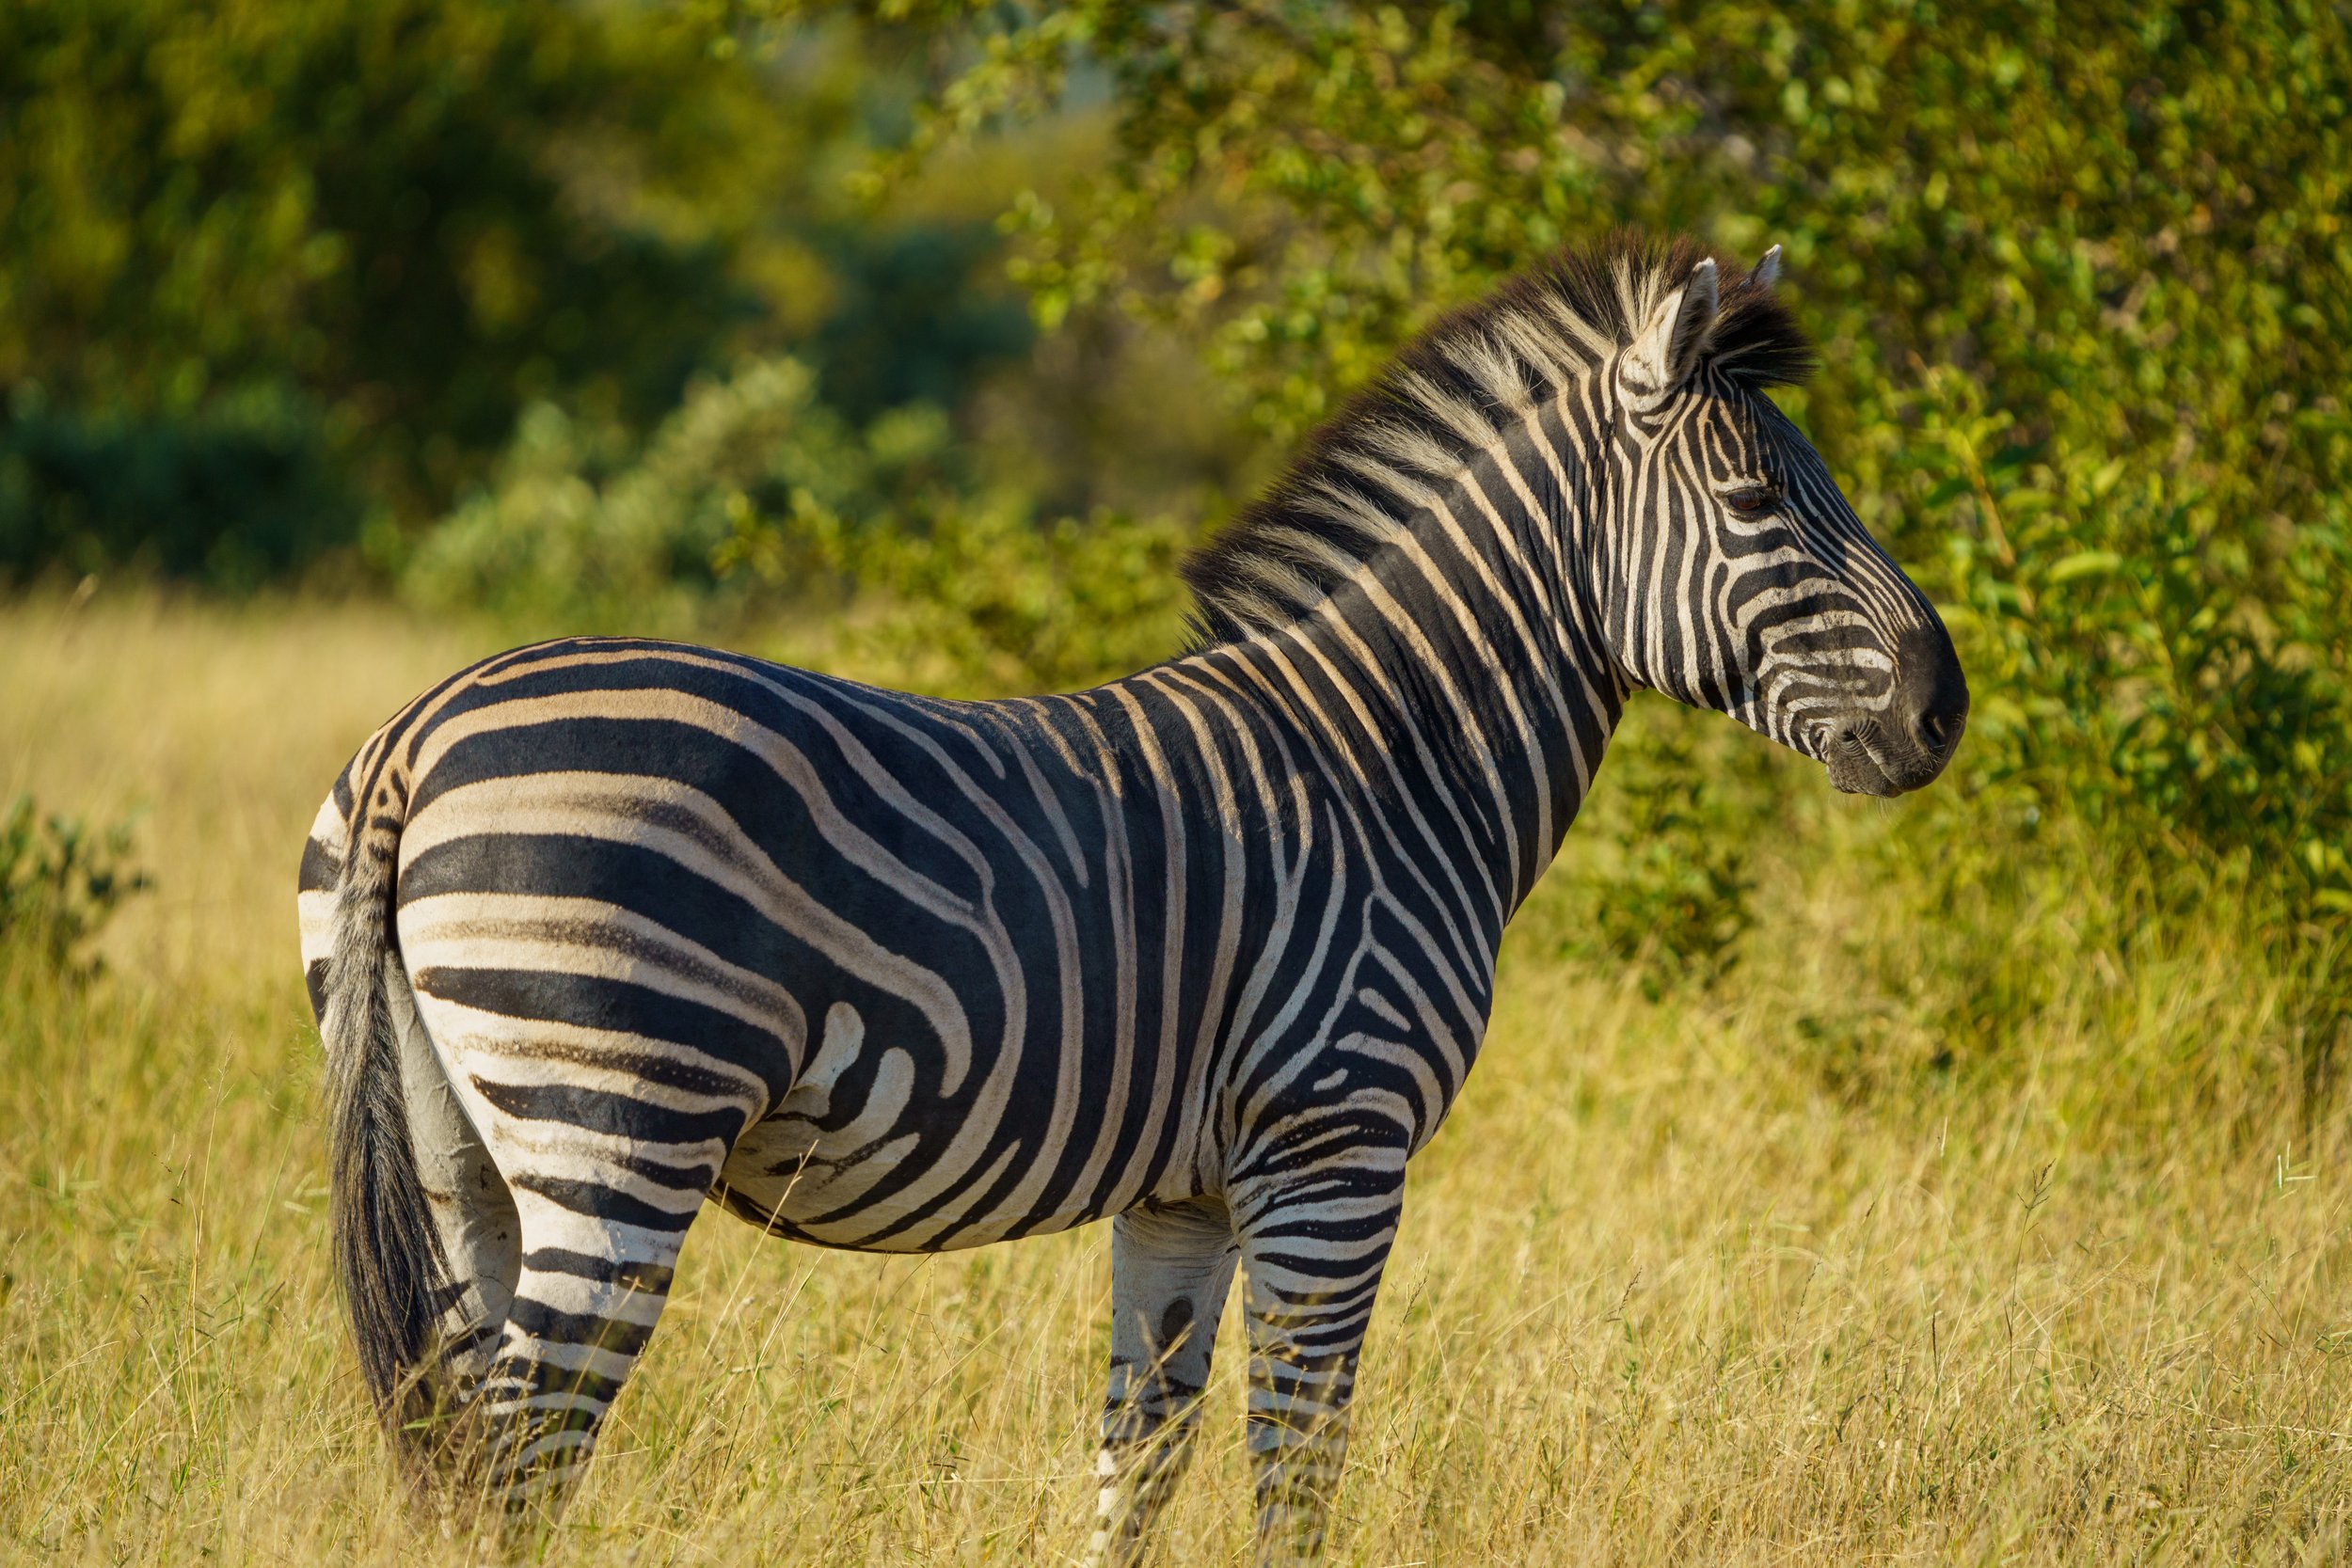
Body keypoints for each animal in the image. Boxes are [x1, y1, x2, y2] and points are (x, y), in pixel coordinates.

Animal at [298, 232, 1965, 1564]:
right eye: (1756, 497)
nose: (1944, 710)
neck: (1399, 752)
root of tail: (417, 735)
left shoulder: (1185, 1193)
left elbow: (1140, 1458)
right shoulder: (1336, 1149)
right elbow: (1297, 1467)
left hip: (460, 1150)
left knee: (465, 1440)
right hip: (616, 1118)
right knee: (521, 1451)